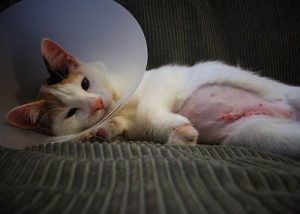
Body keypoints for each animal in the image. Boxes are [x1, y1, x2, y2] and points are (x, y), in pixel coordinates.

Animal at [6, 38, 300, 157]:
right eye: (70, 112)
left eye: (86, 83)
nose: (97, 104)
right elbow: (122, 126)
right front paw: (97, 133)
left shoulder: (160, 83)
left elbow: (149, 110)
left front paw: (180, 131)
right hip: (260, 132)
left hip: (274, 90)